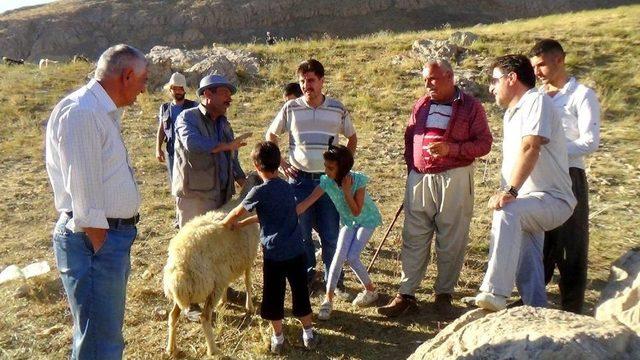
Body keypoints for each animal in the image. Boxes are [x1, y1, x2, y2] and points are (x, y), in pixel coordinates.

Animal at [164, 173, 262, 356]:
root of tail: (180, 267)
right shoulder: (248, 257)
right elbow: (248, 282)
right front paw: (250, 307)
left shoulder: (226, 270)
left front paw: (225, 301)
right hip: (211, 287)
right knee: (204, 317)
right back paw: (213, 349)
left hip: (185, 293)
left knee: (173, 316)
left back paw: (171, 347)